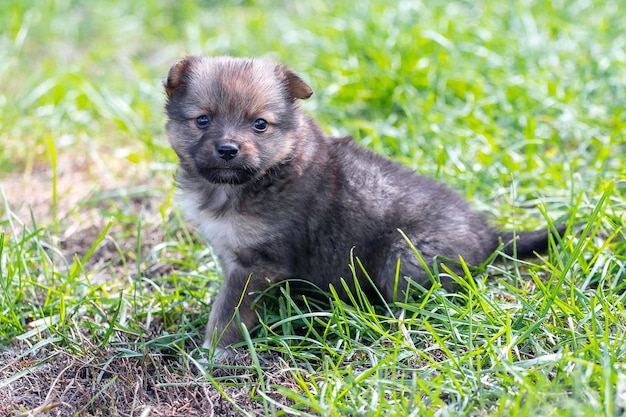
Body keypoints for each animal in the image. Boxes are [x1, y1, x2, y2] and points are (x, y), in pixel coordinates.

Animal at [161, 56, 560, 354]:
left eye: (260, 124)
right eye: (202, 120)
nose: (228, 149)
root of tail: (489, 236)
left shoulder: (255, 263)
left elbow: (228, 310)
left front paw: (212, 352)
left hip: (404, 258)